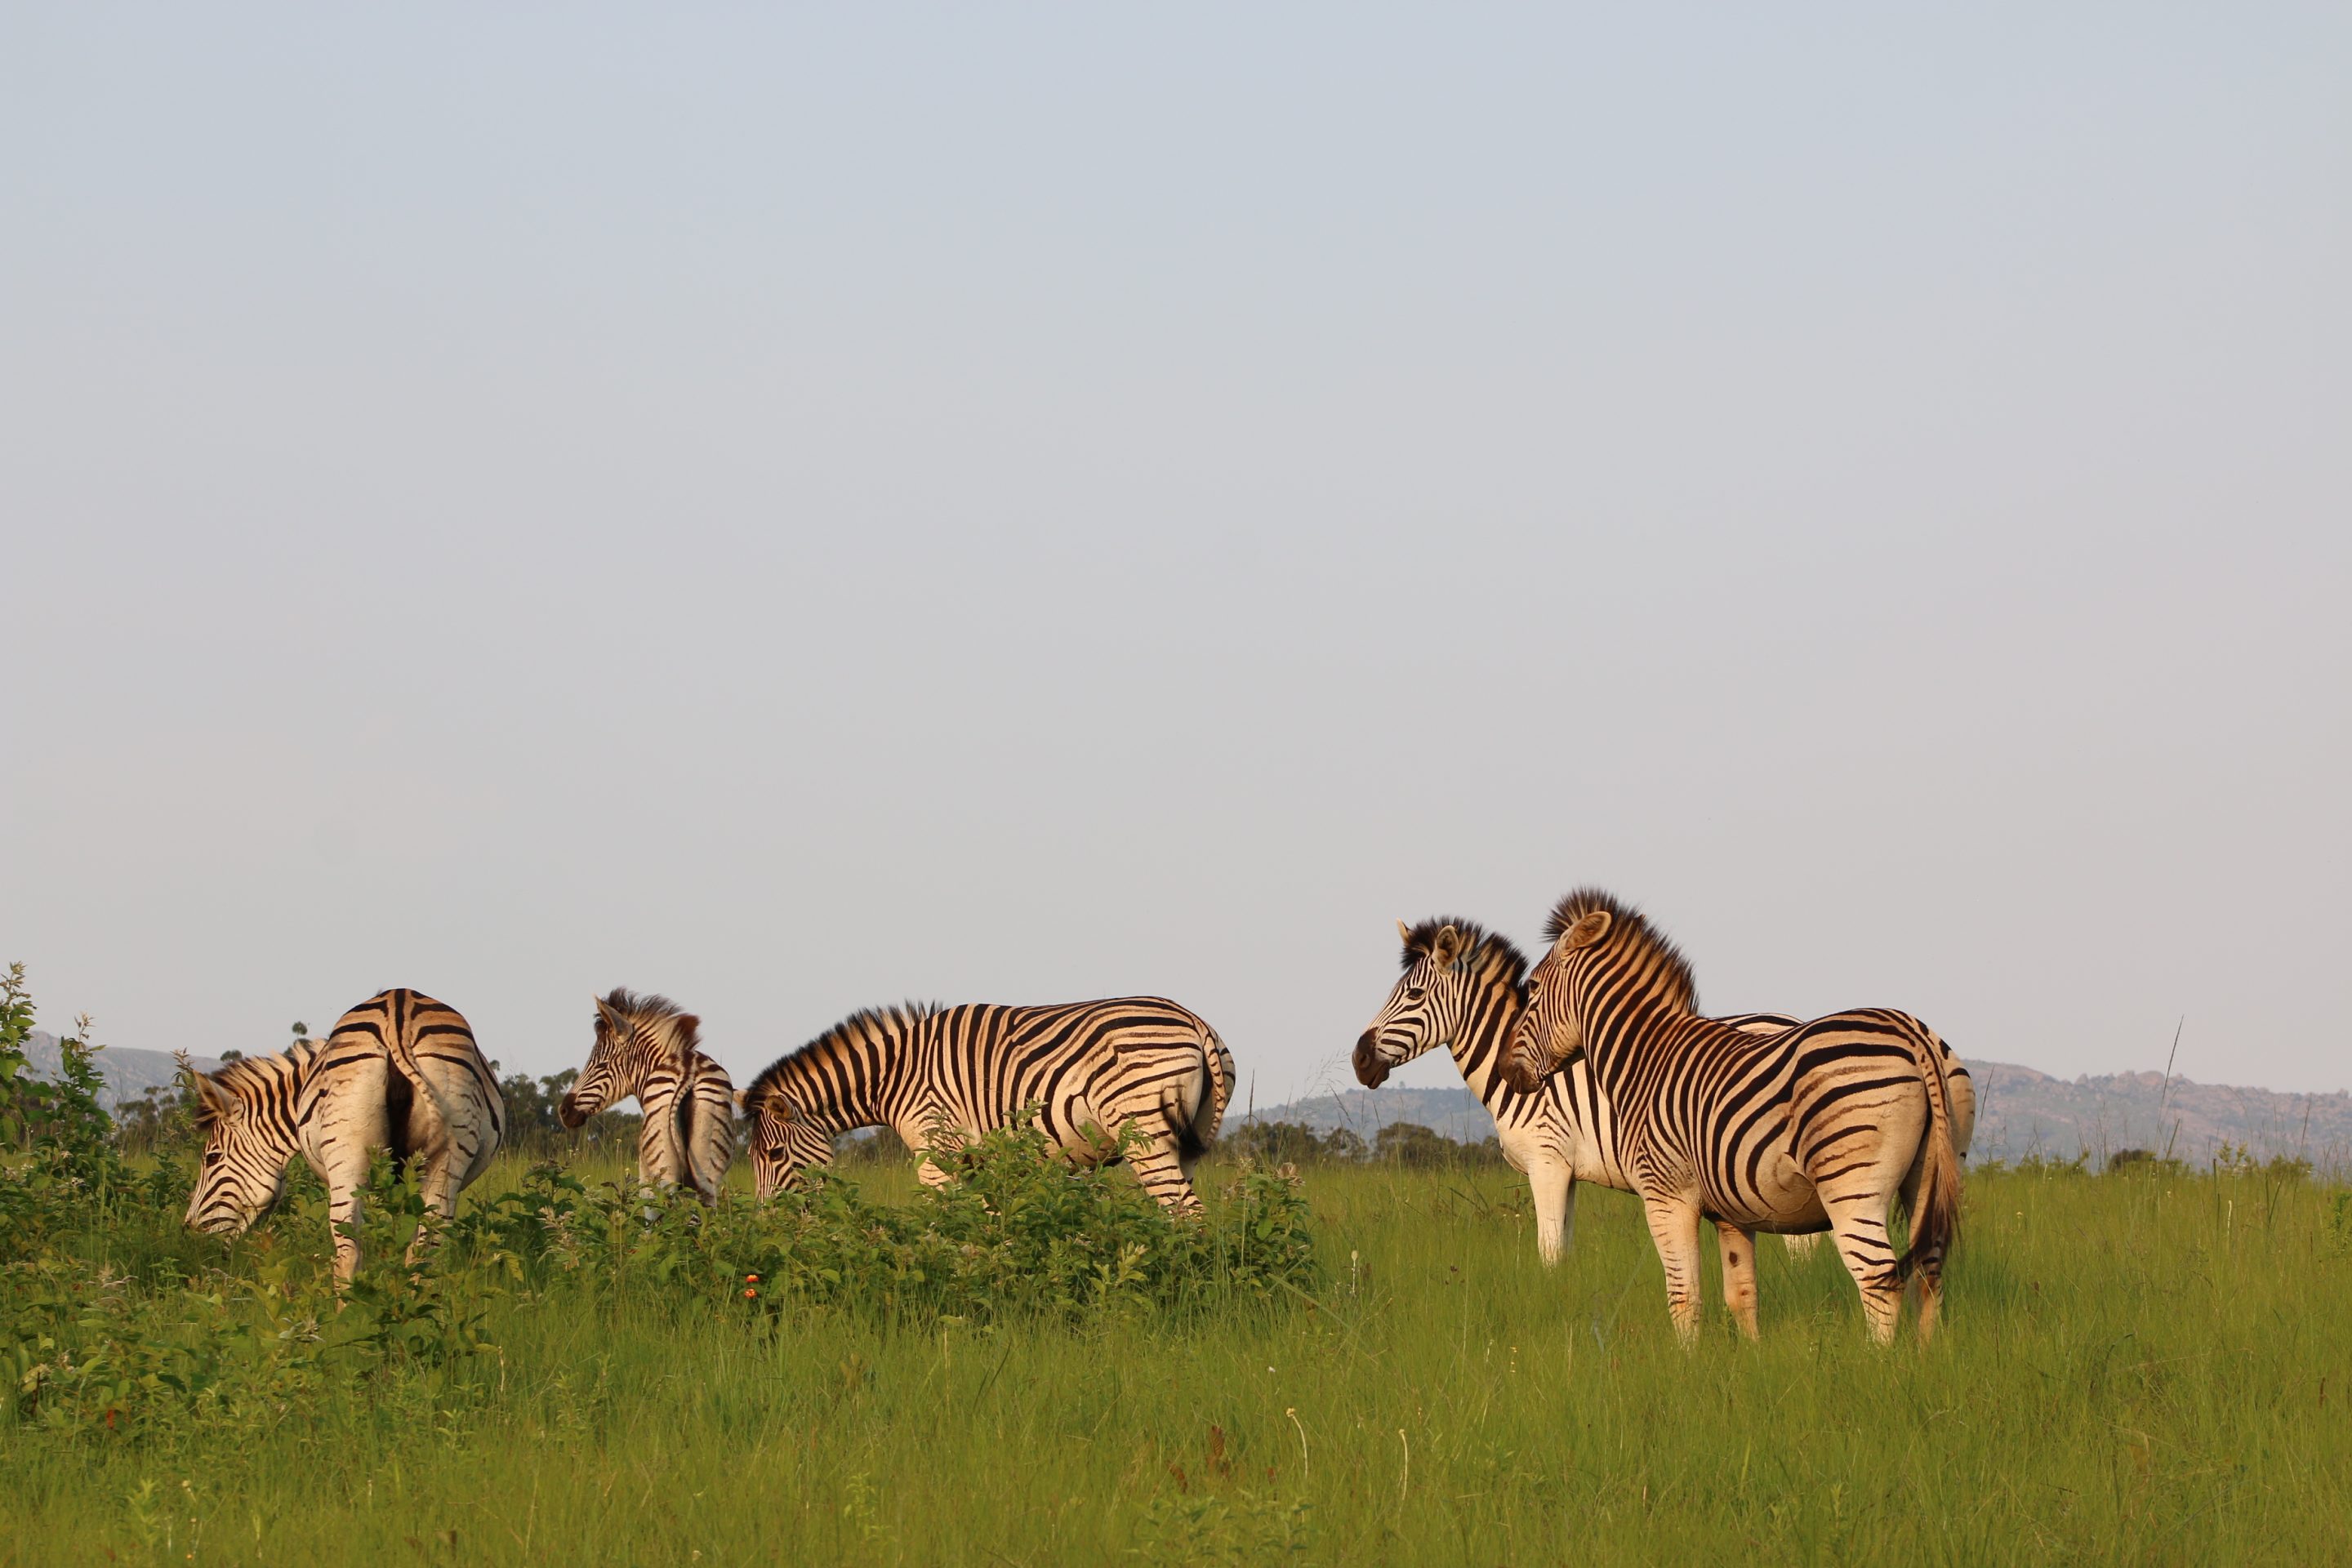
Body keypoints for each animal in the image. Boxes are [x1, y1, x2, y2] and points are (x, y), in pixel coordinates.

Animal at [185, 988, 504, 1283]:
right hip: (445, 1152)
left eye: (212, 1158)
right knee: (427, 1251)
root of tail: (399, 1011)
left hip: (346, 1154)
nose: (189, 1233)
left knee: (348, 1250)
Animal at [558, 988, 735, 1202]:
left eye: (601, 1066)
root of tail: (689, 1071)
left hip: (661, 1169)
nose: (564, 1111)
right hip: (707, 1166)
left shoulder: (644, 1171)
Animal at [738, 996, 1234, 1213]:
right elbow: (988, 1221)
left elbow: (942, 1222)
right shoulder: (975, 1159)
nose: (768, 1222)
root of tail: (1195, 1022)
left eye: (775, 1155)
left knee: (1186, 1213)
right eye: (751, 1159)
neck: (897, 1075)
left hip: (1144, 1133)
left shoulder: (935, 1151)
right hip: (1185, 1142)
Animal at [1354, 917, 1823, 1268]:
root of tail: (1792, 1021)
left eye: (1414, 994)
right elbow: (1564, 1250)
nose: (1359, 1059)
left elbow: (1547, 1253)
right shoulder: (1567, 1173)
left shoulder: (1546, 1163)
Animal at [1502, 889, 1965, 1345]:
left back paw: (1879, 1361)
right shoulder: (1732, 1214)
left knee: (1878, 1278)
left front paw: (1687, 1363)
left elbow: (1683, 1297)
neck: (1647, 1060)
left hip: (1851, 1185)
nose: (1506, 1072)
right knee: (1929, 1272)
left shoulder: (1666, 1195)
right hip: (1929, 1174)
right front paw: (1751, 1362)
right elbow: (1742, 1296)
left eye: (1533, 987)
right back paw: (1926, 1357)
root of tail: (1911, 1034)